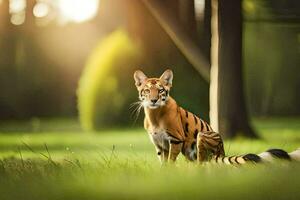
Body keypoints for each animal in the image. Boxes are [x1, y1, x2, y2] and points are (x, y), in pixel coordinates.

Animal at [133, 69, 300, 164]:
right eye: (147, 90)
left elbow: (170, 160)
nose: (153, 100)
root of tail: (222, 152)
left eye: (160, 90)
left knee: (203, 162)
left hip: (202, 135)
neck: (154, 115)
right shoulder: (160, 145)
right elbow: (163, 162)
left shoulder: (175, 140)